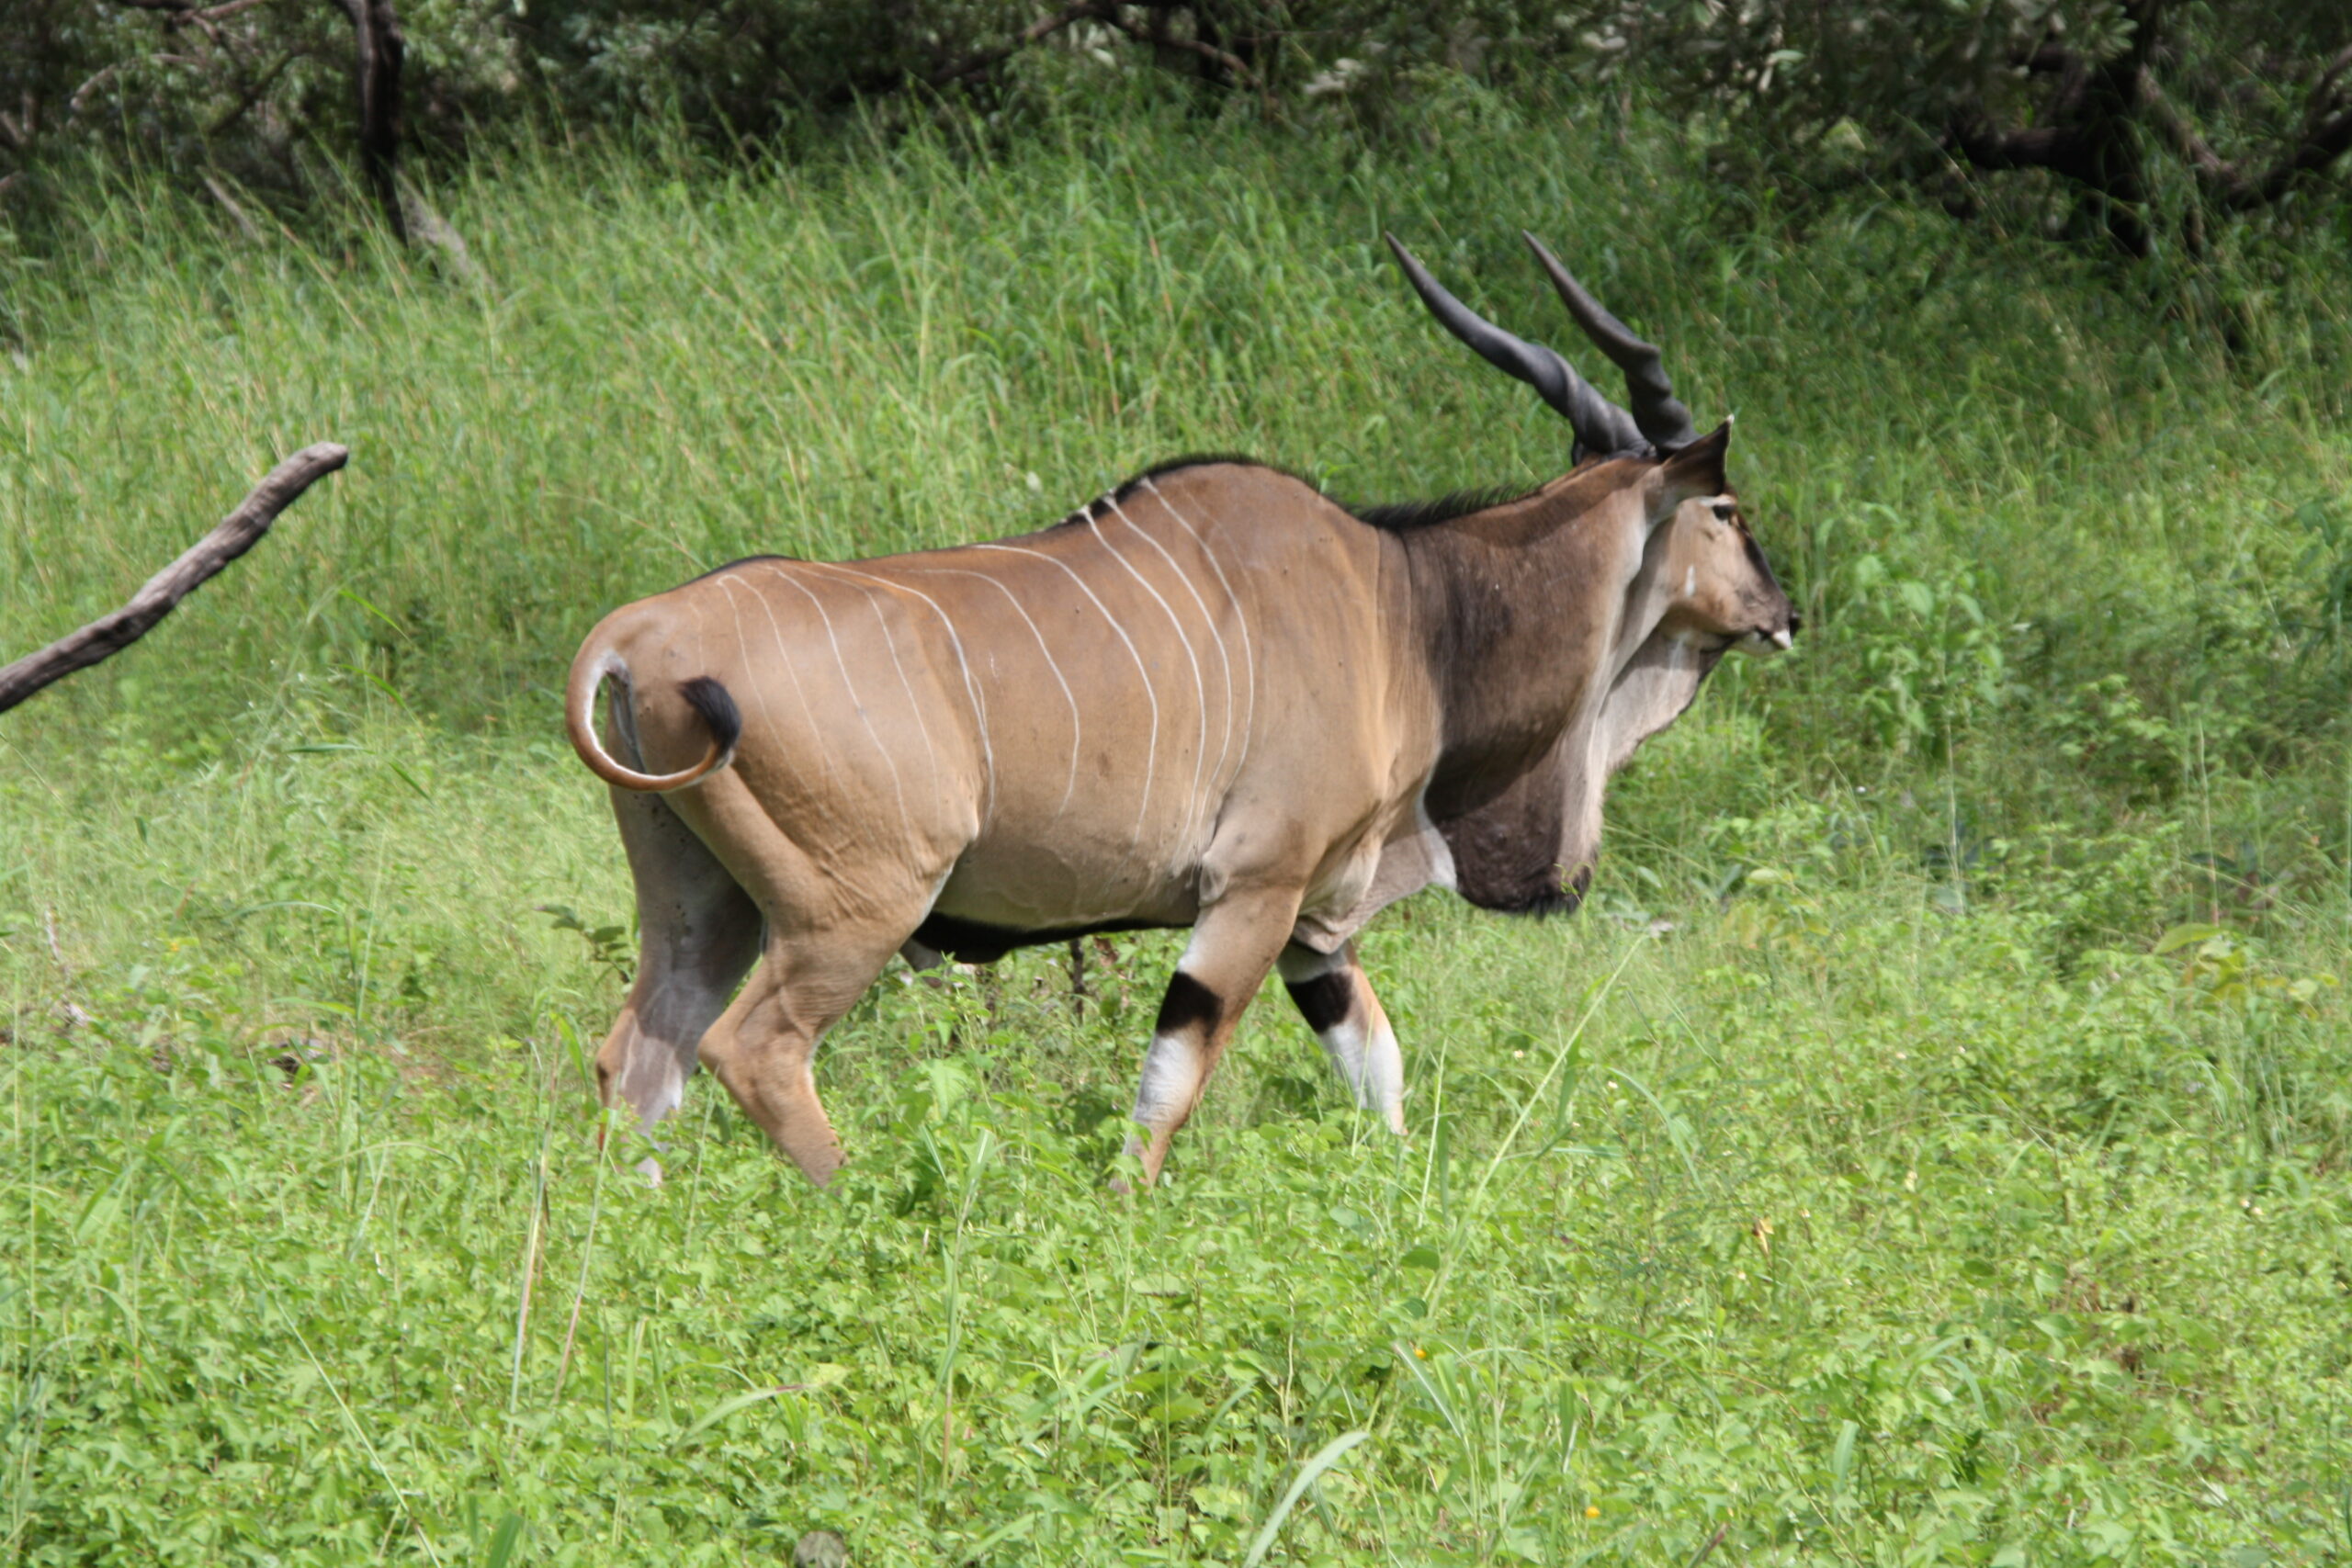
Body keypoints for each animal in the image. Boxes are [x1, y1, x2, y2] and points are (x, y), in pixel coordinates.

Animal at [564, 232, 1796, 1187]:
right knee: (755, 1052)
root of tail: (639, 634)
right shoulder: (1254, 892)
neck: (1407, 613)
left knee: (638, 1059)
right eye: (1726, 509)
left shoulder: (1314, 925)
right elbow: (1170, 1087)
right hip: (854, 909)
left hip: (703, 904)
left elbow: (1377, 1070)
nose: (1783, 613)